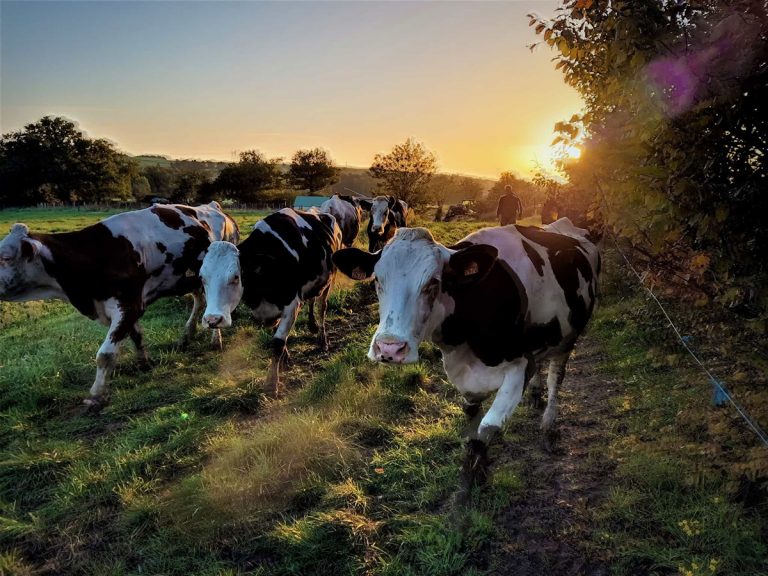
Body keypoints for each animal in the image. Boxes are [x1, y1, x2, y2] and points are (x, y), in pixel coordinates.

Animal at [0, 202, 240, 408]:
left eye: (6, 258)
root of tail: (210, 206)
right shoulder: (122, 307)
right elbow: (136, 336)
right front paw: (144, 363)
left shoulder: (129, 305)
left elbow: (105, 355)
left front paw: (96, 395)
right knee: (200, 299)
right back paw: (187, 334)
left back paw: (214, 339)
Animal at [200, 208, 342, 396]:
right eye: (202, 277)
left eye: (236, 277)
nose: (212, 320)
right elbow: (277, 334)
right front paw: (285, 361)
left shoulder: (291, 305)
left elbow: (277, 343)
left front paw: (271, 383)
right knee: (312, 301)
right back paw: (312, 326)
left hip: (329, 281)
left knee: (321, 307)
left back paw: (323, 340)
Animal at [332, 218, 600, 491]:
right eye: (377, 280)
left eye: (433, 283)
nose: (389, 349)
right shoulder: (464, 376)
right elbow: (472, 426)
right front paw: (478, 470)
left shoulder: (520, 366)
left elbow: (485, 430)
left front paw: (468, 488)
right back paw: (536, 395)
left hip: (568, 339)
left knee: (556, 377)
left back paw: (548, 425)